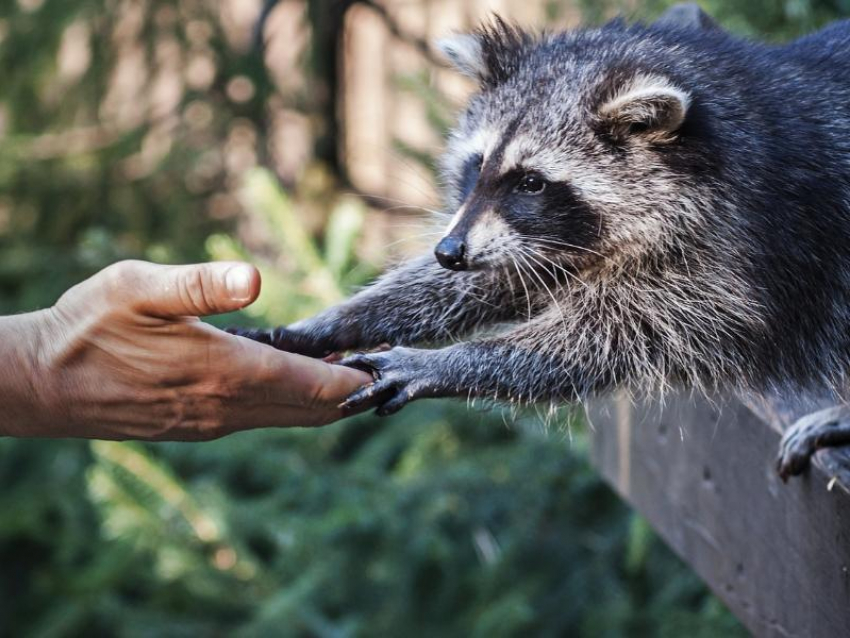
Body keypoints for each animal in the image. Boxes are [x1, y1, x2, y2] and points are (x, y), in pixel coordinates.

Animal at [234, 6, 850, 480]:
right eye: (478, 164)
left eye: (531, 182)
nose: (447, 253)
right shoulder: (530, 238)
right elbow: (499, 276)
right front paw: (336, 319)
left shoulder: (735, 252)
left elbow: (616, 334)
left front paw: (452, 362)